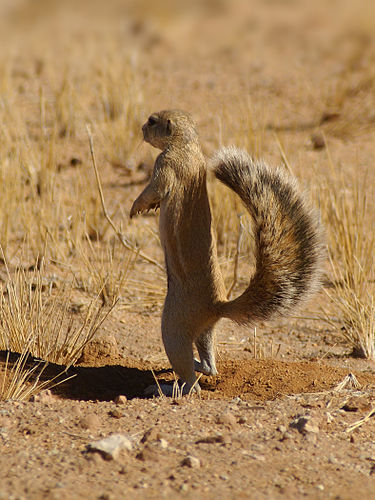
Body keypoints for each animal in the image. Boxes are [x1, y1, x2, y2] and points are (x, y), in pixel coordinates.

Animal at [131, 109, 324, 394]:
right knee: (211, 365)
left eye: (153, 121)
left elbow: (153, 189)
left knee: (191, 380)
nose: (142, 129)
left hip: (173, 326)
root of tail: (216, 306)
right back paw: (199, 366)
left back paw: (169, 388)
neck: (187, 146)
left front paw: (136, 207)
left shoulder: (165, 166)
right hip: (206, 331)